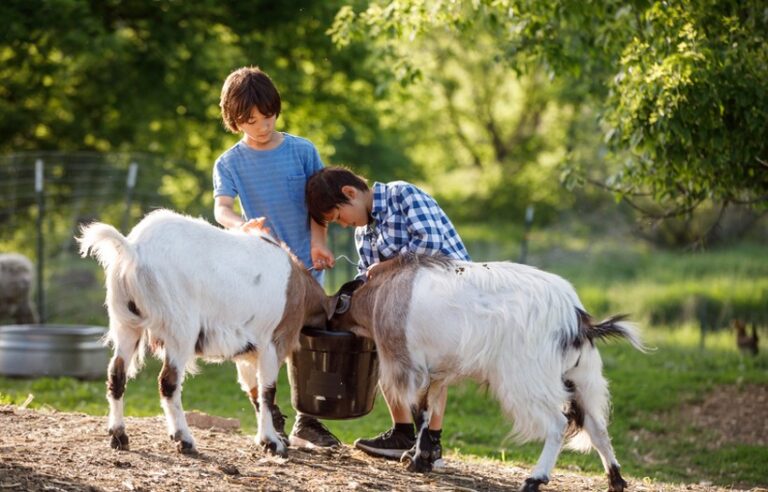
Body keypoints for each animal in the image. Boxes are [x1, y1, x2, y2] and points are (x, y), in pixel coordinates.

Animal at [77, 209, 331, 456]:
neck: (299, 288)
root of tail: (133, 250)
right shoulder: (272, 343)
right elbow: (267, 392)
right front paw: (272, 443)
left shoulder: (248, 351)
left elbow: (254, 392)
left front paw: (265, 439)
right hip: (181, 328)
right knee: (168, 382)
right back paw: (185, 440)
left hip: (126, 323)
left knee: (116, 374)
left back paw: (119, 436)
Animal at [329, 254, 645, 492]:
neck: (382, 292)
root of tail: (577, 320)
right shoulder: (437, 373)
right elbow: (429, 412)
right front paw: (422, 459)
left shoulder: (409, 366)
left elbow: (418, 412)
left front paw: (416, 460)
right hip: (582, 377)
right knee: (597, 427)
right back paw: (616, 480)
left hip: (526, 381)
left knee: (558, 423)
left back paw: (535, 479)